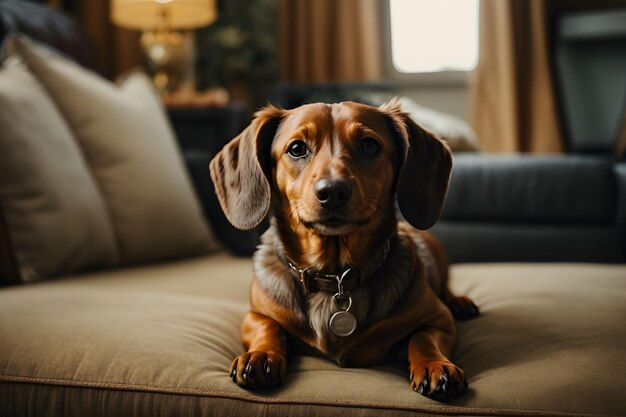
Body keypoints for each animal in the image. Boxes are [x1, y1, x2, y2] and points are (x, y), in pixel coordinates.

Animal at [210, 100, 478, 400]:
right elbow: (267, 326)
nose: (333, 192)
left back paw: (460, 302)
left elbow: (422, 337)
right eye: (296, 148)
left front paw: (434, 365)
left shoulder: (439, 319)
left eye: (370, 145)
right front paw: (261, 355)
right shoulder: (254, 314)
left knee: (445, 289)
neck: (335, 275)